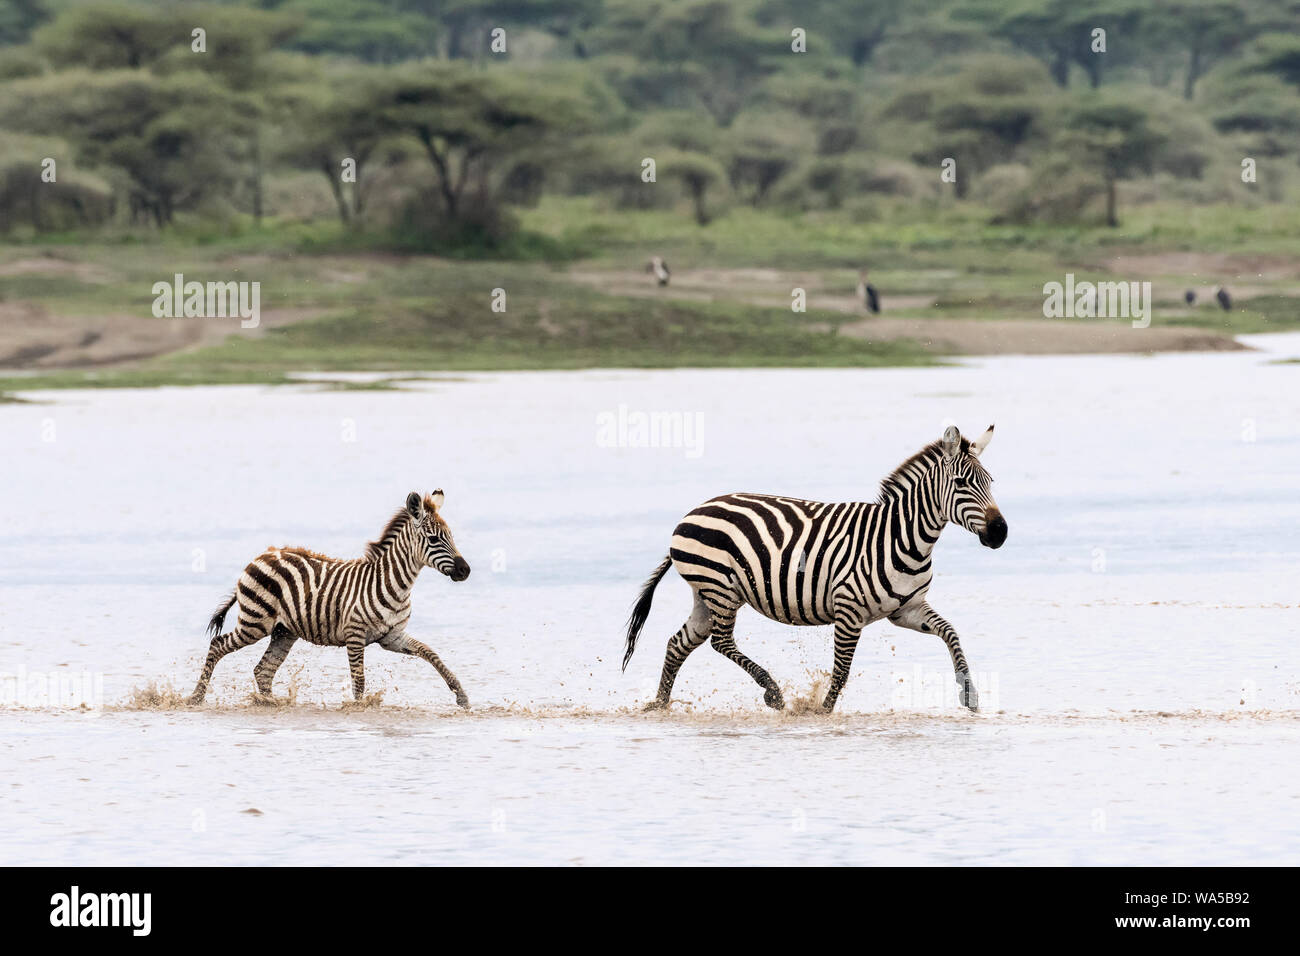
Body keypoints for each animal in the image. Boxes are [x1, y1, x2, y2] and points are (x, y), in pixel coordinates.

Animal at [188, 491, 472, 708]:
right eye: (434, 539)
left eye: (451, 536)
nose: (465, 571)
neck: (393, 583)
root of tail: (260, 556)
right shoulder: (355, 634)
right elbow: (359, 680)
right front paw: (359, 708)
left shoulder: (393, 637)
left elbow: (432, 654)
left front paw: (462, 696)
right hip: (255, 622)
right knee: (218, 645)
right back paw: (196, 697)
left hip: (283, 631)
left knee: (263, 670)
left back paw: (270, 703)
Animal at [622, 425, 1006, 713]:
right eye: (961, 484)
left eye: (990, 481)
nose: (1000, 532)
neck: (903, 539)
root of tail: (694, 511)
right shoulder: (849, 611)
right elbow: (841, 671)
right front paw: (822, 712)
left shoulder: (907, 610)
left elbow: (951, 632)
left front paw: (970, 695)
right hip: (720, 587)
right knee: (721, 642)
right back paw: (773, 692)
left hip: (706, 594)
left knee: (679, 643)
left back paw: (660, 704)